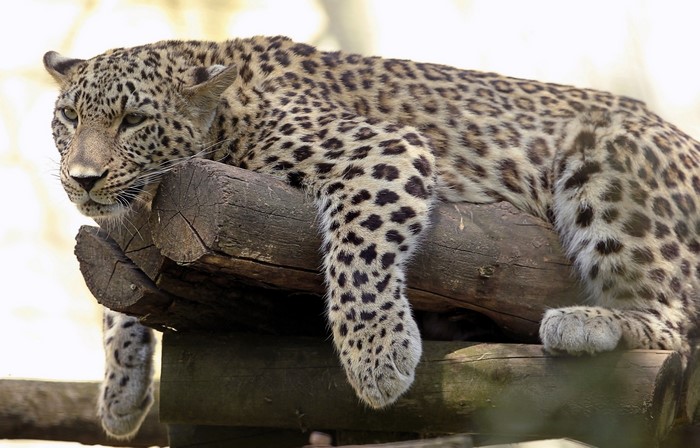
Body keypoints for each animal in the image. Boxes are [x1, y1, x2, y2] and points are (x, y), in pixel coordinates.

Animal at [43, 36, 699, 439]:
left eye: (133, 121)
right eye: (69, 118)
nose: (82, 177)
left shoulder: (384, 150)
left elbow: (357, 251)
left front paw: (378, 357)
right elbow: (118, 285)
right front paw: (121, 390)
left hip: (608, 160)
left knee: (678, 316)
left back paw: (587, 323)